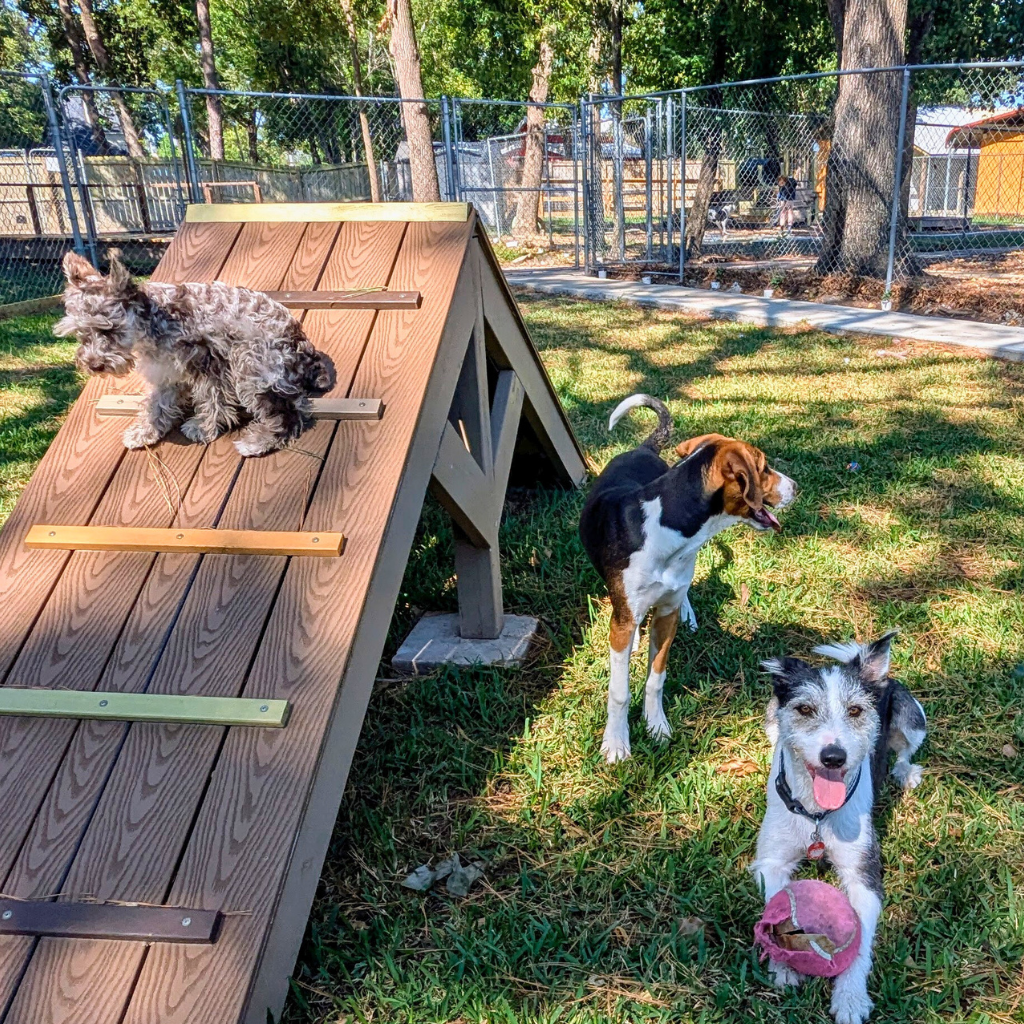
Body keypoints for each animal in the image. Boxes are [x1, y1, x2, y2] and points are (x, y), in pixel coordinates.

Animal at [54, 247, 333, 456]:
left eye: (109, 330)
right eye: (80, 333)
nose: (93, 364)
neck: (154, 320)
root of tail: (304, 349)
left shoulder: (208, 365)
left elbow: (213, 401)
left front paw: (203, 427)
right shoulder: (166, 373)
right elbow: (156, 404)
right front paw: (146, 431)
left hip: (249, 367)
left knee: (289, 414)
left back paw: (257, 442)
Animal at [581, 395, 794, 765]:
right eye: (764, 468)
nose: (795, 487)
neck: (665, 528)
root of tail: (642, 448)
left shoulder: (664, 616)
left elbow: (656, 678)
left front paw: (656, 726)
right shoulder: (622, 622)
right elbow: (619, 690)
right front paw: (617, 742)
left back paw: (688, 611)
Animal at [753, 630, 929, 1024]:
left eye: (855, 711)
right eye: (804, 710)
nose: (834, 757)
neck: (817, 815)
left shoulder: (864, 876)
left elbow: (860, 940)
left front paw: (850, 998)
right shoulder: (771, 863)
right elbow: (776, 905)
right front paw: (783, 966)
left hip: (913, 718)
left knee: (905, 750)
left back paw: (906, 772)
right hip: (770, 717)